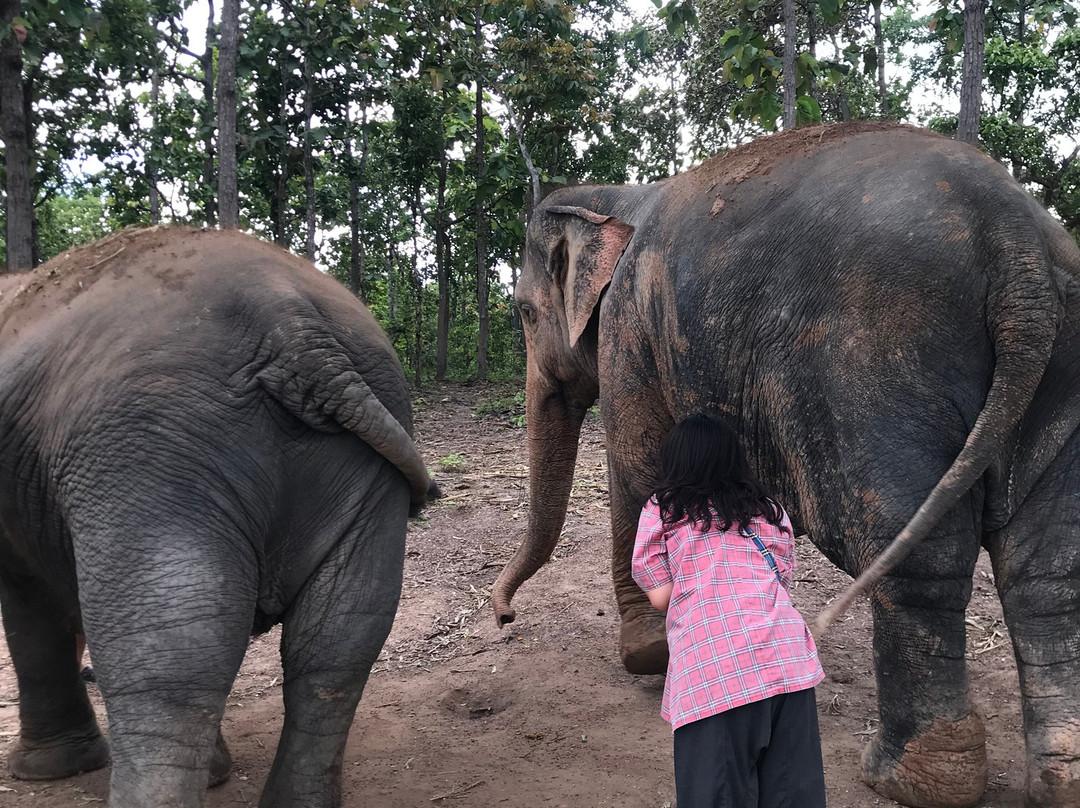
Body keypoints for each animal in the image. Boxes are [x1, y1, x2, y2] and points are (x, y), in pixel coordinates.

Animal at [0, 227, 438, 807]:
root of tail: (288, 321)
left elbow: (28, 598)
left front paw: (45, 772)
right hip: (372, 442)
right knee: (339, 635)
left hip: (152, 452)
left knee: (172, 657)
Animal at [491, 122, 1080, 808]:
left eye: (524, 312)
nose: (504, 617)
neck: (618, 197)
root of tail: (1019, 248)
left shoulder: (627, 328)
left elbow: (638, 465)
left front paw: (646, 657)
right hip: (1059, 364)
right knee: (1047, 567)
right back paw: (1057, 780)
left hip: (881, 361)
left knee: (920, 554)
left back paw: (904, 777)